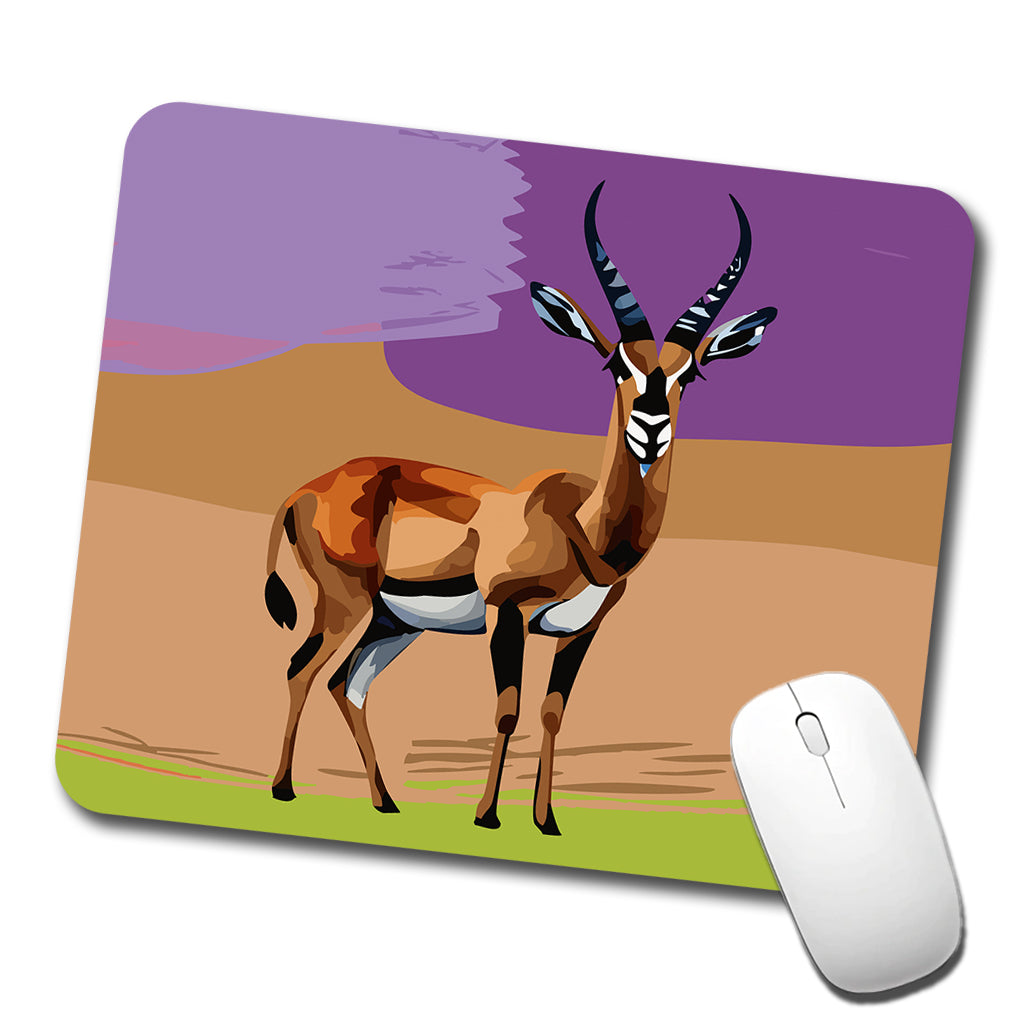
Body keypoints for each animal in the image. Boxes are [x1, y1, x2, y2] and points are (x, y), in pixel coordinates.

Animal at [264, 182, 777, 834]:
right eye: (615, 364)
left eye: (691, 373)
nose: (651, 427)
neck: (586, 531)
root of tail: (302, 490)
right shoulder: (507, 613)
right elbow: (507, 709)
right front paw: (487, 817)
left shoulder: (577, 631)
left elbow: (553, 713)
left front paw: (547, 821)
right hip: (344, 604)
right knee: (301, 668)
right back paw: (283, 790)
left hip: (393, 622)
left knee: (346, 685)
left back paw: (386, 800)